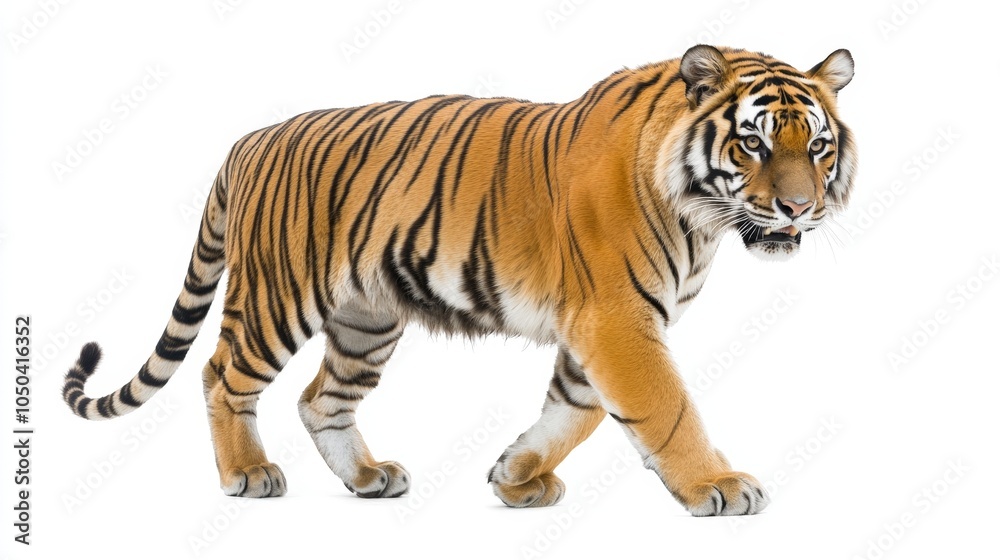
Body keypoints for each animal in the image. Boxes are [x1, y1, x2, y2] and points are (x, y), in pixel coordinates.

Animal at [62, 45, 856, 516]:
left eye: (817, 145)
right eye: (752, 142)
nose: (798, 208)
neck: (702, 220)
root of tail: (246, 141)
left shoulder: (596, 327)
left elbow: (576, 410)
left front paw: (516, 475)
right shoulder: (617, 320)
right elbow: (664, 407)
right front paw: (717, 485)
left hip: (366, 319)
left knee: (321, 399)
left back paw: (367, 478)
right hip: (276, 298)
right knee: (222, 373)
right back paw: (248, 475)